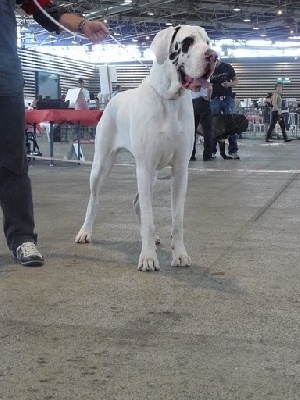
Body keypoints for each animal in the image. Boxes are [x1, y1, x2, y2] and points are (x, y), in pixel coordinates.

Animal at [74, 25, 216, 272]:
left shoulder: (180, 170)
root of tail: (112, 99)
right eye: (187, 42)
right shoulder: (145, 166)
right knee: (95, 199)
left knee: (138, 202)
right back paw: (85, 231)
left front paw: (180, 254)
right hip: (102, 166)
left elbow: (177, 219)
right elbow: (149, 217)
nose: (213, 56)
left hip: (152, 175)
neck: (169, 99)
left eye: (208, 42)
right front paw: (148, 257)